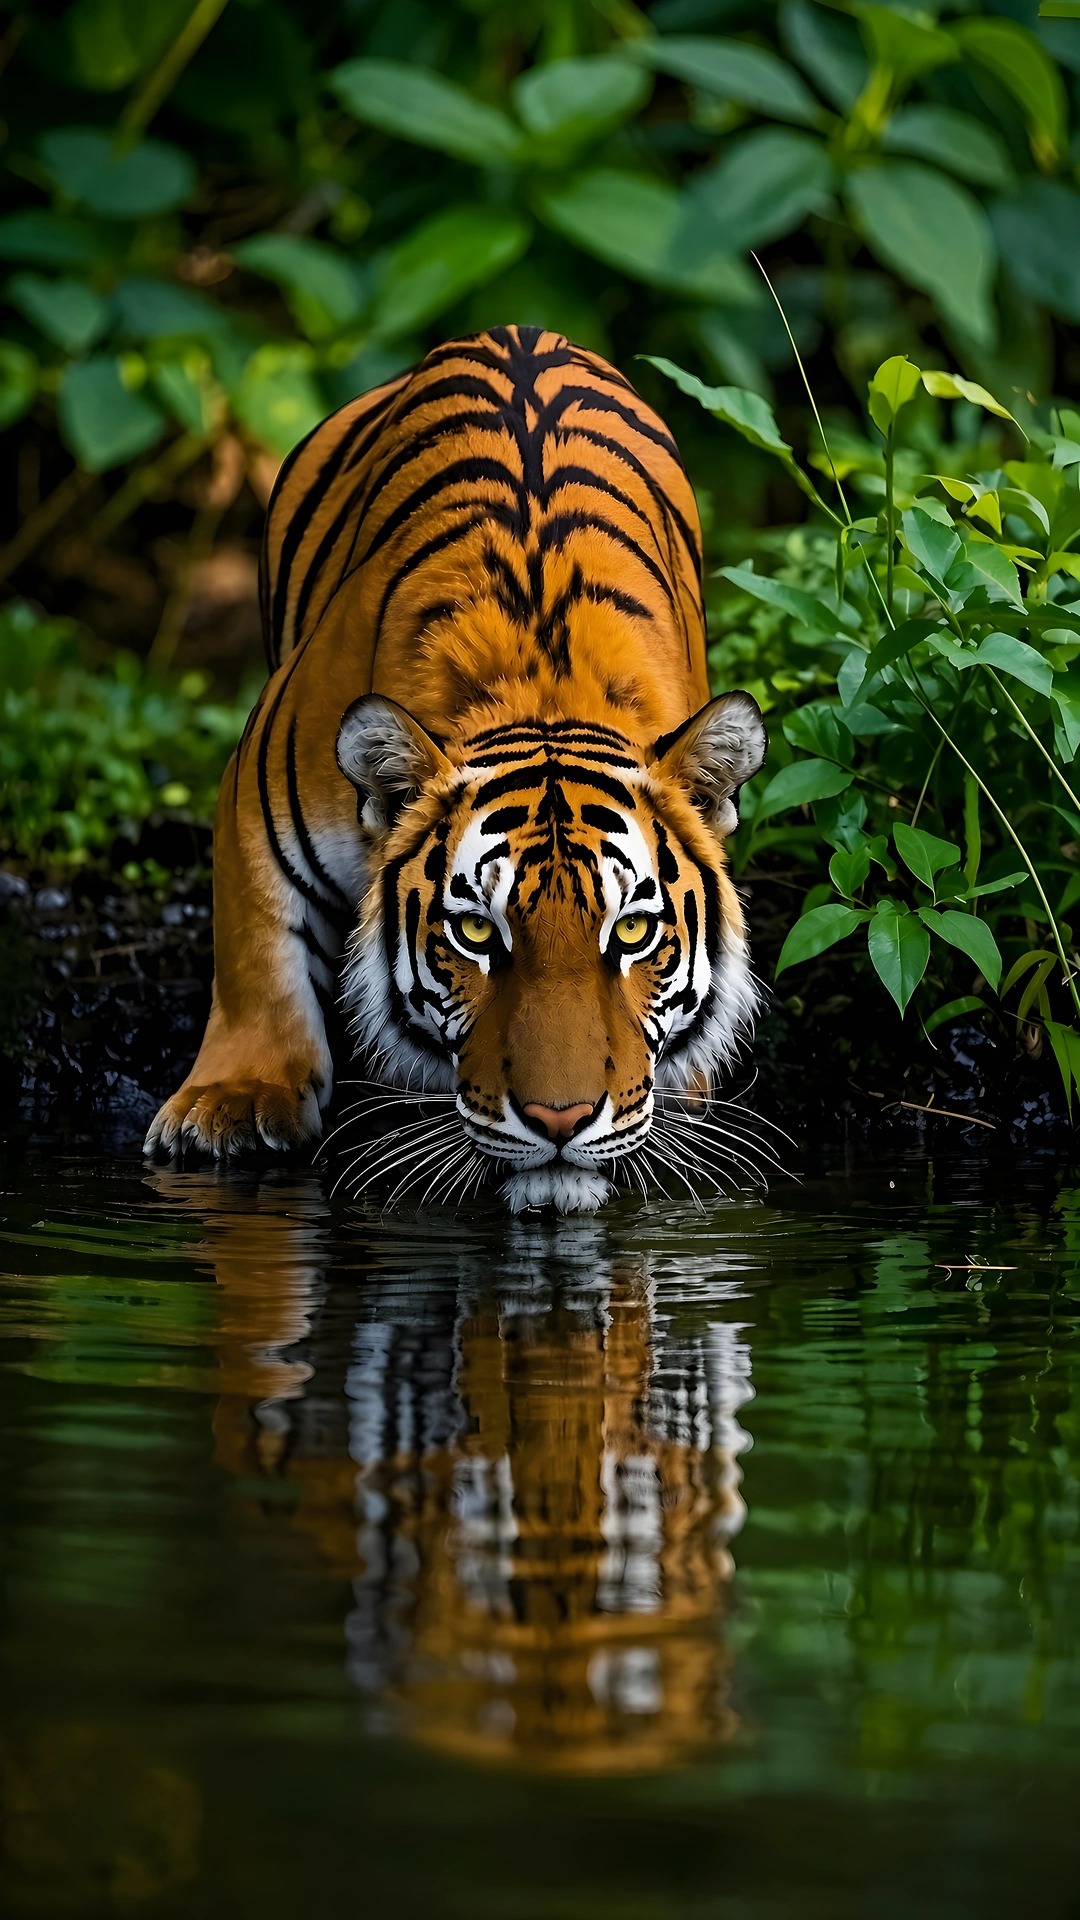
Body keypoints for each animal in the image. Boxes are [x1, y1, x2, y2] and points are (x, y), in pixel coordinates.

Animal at [145, 325, 766, 1211]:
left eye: (634, 931)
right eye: (475, 931)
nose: (559, 1119)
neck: (543, 686)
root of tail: (522, 330)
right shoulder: (256, 799)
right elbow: (257, 948)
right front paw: (233, 1103)